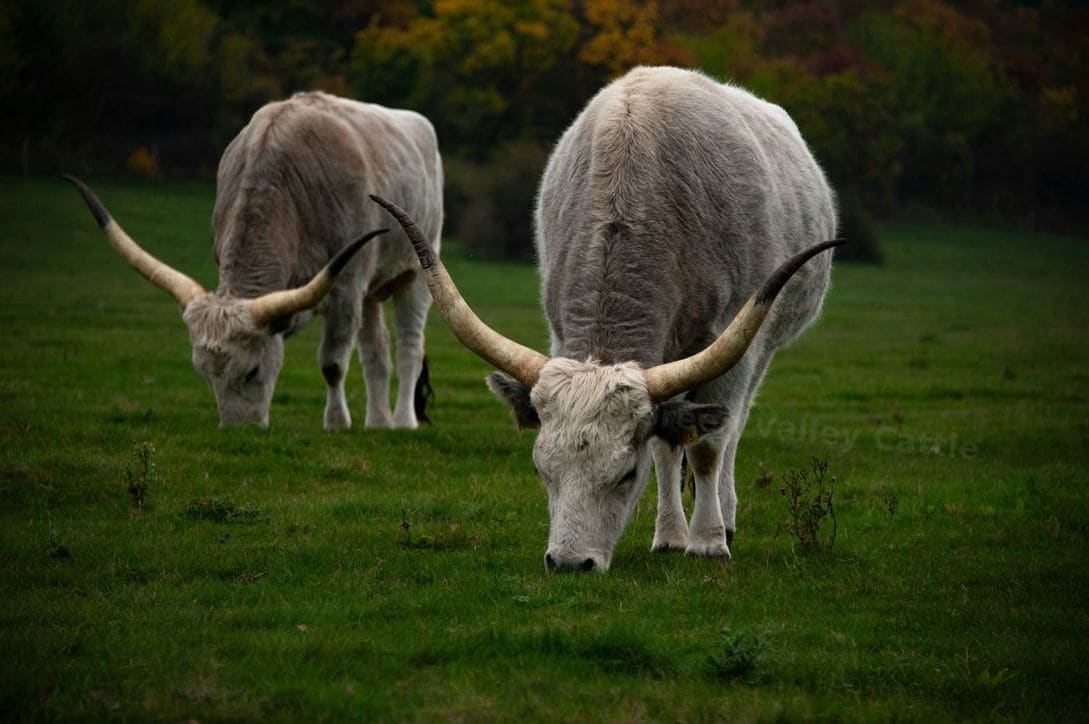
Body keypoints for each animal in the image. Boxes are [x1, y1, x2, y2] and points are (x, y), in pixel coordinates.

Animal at [66, 91, 443, 429]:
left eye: (252, 372)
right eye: (204, 374)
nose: (239, 429)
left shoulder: (347, 285)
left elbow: (333, 362)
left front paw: (336, 423)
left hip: (416, 270)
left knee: (409, 346)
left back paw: (403, 421)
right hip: (372, 290)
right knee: (375, 351)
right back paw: (378, 422)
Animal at [373, 66, 840, 572]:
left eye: (625, 475)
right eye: (542, 470)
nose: (568, 563)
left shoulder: (735, 344)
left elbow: (707, 448)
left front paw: (709, 542)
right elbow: (666, 444)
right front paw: (675, 536)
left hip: (762, 347)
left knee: (728, 430)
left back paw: (723, 521)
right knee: (670, 443)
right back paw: (670, 534)